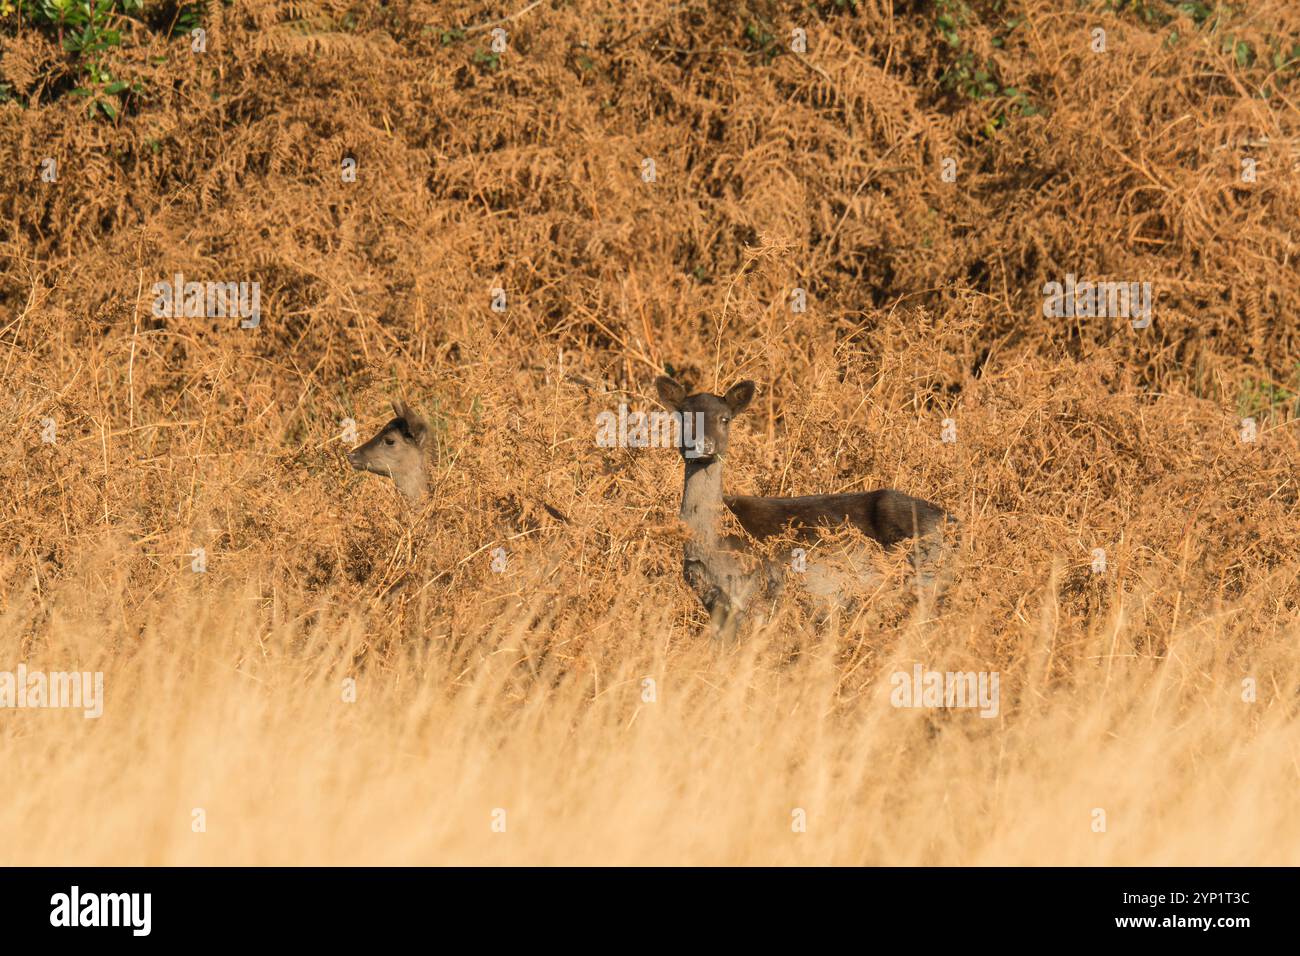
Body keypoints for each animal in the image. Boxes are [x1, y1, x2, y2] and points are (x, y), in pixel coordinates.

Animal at [654, 376, 957, 639]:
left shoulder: (752, 595)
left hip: (923, 580)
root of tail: (953, 522)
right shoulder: (715, 604)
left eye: (725, 418)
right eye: (684, 416)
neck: (715, 542)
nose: (703, 445)